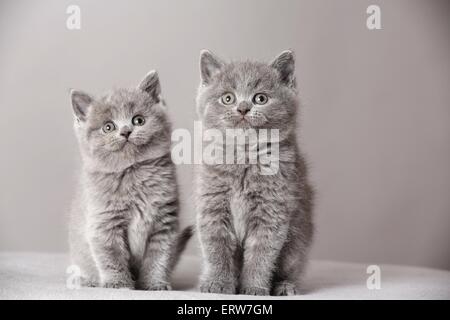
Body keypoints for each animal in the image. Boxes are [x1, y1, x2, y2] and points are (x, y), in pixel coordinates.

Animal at [68, 70, 192, 290]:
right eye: (108, 127)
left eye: (138, 120)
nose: (125, 131)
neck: (133, 172)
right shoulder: (104, 223)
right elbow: (112, 257)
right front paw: (118, 284)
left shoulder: (165, 223)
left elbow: (159, 256)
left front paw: (154, 284)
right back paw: (88, 280)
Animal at [195, 50, 314, 298]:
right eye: (227, 98)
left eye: (260, 98)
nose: (242, 108)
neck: (245, 155)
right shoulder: (212, 204)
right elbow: (216, 247)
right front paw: (217, 283)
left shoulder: (272, 210)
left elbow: (262, 252)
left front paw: (253, 288)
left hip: (297, 242)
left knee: (290, 266)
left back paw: (285, 286)